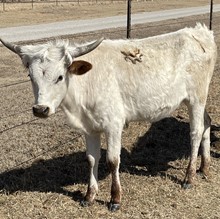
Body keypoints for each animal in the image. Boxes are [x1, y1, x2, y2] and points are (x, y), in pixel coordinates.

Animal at [0, 23, 217, 210]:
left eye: (60, 77)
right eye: (30, 76)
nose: (40, 109)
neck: (84, 83)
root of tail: (199, 31)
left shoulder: (113, 124)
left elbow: (112, 160)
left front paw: (115, 198)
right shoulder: (89, 127)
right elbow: (91, 159)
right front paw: (89, 195)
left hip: (196, 98)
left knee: (196, 132)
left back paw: (189, 177)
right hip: (199, 99)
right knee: (207, 123)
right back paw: (204, 167)